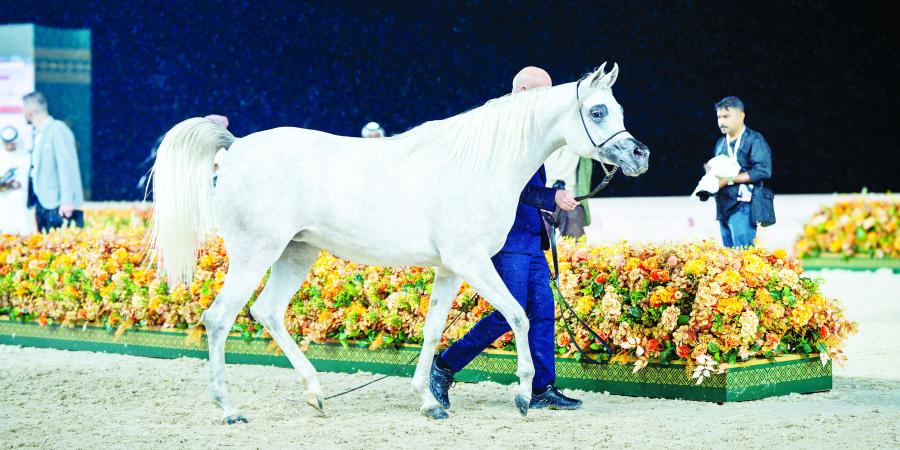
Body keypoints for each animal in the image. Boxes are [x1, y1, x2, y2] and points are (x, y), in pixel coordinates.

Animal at [151, 62, 652, 422]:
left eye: (619, 109)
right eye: (598, 111)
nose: (639, 155)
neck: (480, 164)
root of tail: (234, 147)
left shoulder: (450, 268)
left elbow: (433, 330)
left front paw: (430, 401)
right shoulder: (473, 262)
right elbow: (518, 316)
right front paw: (524, 395)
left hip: (296, 252)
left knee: (267, 312)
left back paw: (316, 394)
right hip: (255, 253)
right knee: (219, 319)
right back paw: (230, 410)